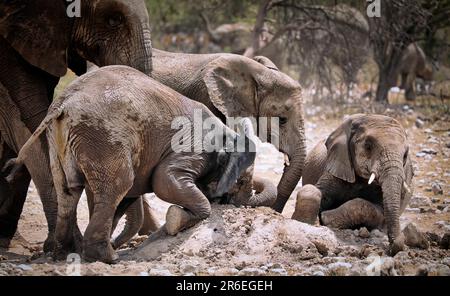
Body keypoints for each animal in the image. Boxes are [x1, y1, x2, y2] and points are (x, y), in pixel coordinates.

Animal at [8, 65, 256, 264]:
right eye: (242, 182)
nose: (232, 202)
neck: (228, 133)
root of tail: (63, 104)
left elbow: (127, 199)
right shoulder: (195, 146)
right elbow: (163, 180)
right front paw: (176, 220)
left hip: (60, 139)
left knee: (69, 191)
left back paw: (64, 254)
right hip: (102, 135)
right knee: (119, 185)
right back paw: (107, 258)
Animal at [292, 114, 414, 256]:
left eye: (405, 155)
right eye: (368, 146)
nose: (392, 248)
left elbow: (377, 211)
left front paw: (325, 218)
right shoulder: (337, 165)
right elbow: (314, 190)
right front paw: (308, 221)